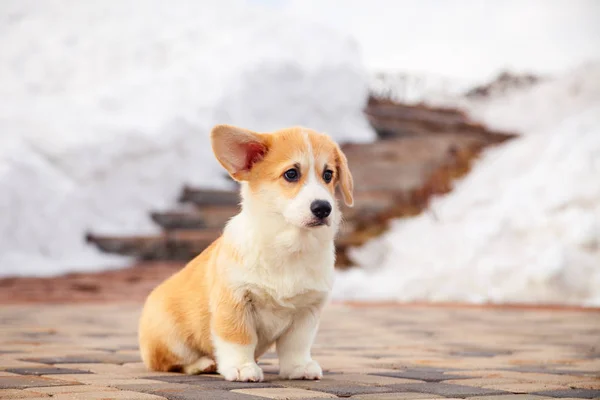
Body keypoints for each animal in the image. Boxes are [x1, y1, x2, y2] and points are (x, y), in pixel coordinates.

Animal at [138, 124, 354, 382]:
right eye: (291, 174)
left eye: (328, 175)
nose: (323, 208)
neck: (289, 245)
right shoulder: (234, 300)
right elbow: (239, 338)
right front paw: (242, 368)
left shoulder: (307, 310)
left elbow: (297, 345)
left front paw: (299, 367)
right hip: (171, 339)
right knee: (169, 362)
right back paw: (203, 364)